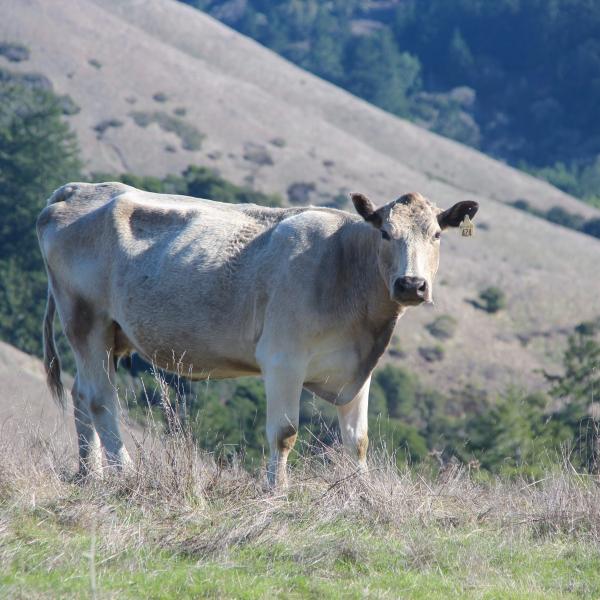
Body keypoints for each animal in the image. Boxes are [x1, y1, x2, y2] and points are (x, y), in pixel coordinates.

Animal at [37, 180, 478, 486]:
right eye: (385, 233)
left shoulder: (358, 368)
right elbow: (284, 433)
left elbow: (357, 439)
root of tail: (78, 189)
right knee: (100, 398)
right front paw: (276, 490)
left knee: (81, 393)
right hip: (86, 319)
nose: (411, 284)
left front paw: (363, 492)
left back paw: (88, 474)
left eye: (437, 235)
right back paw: (125, 472)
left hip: (108, 333)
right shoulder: (283, 359)